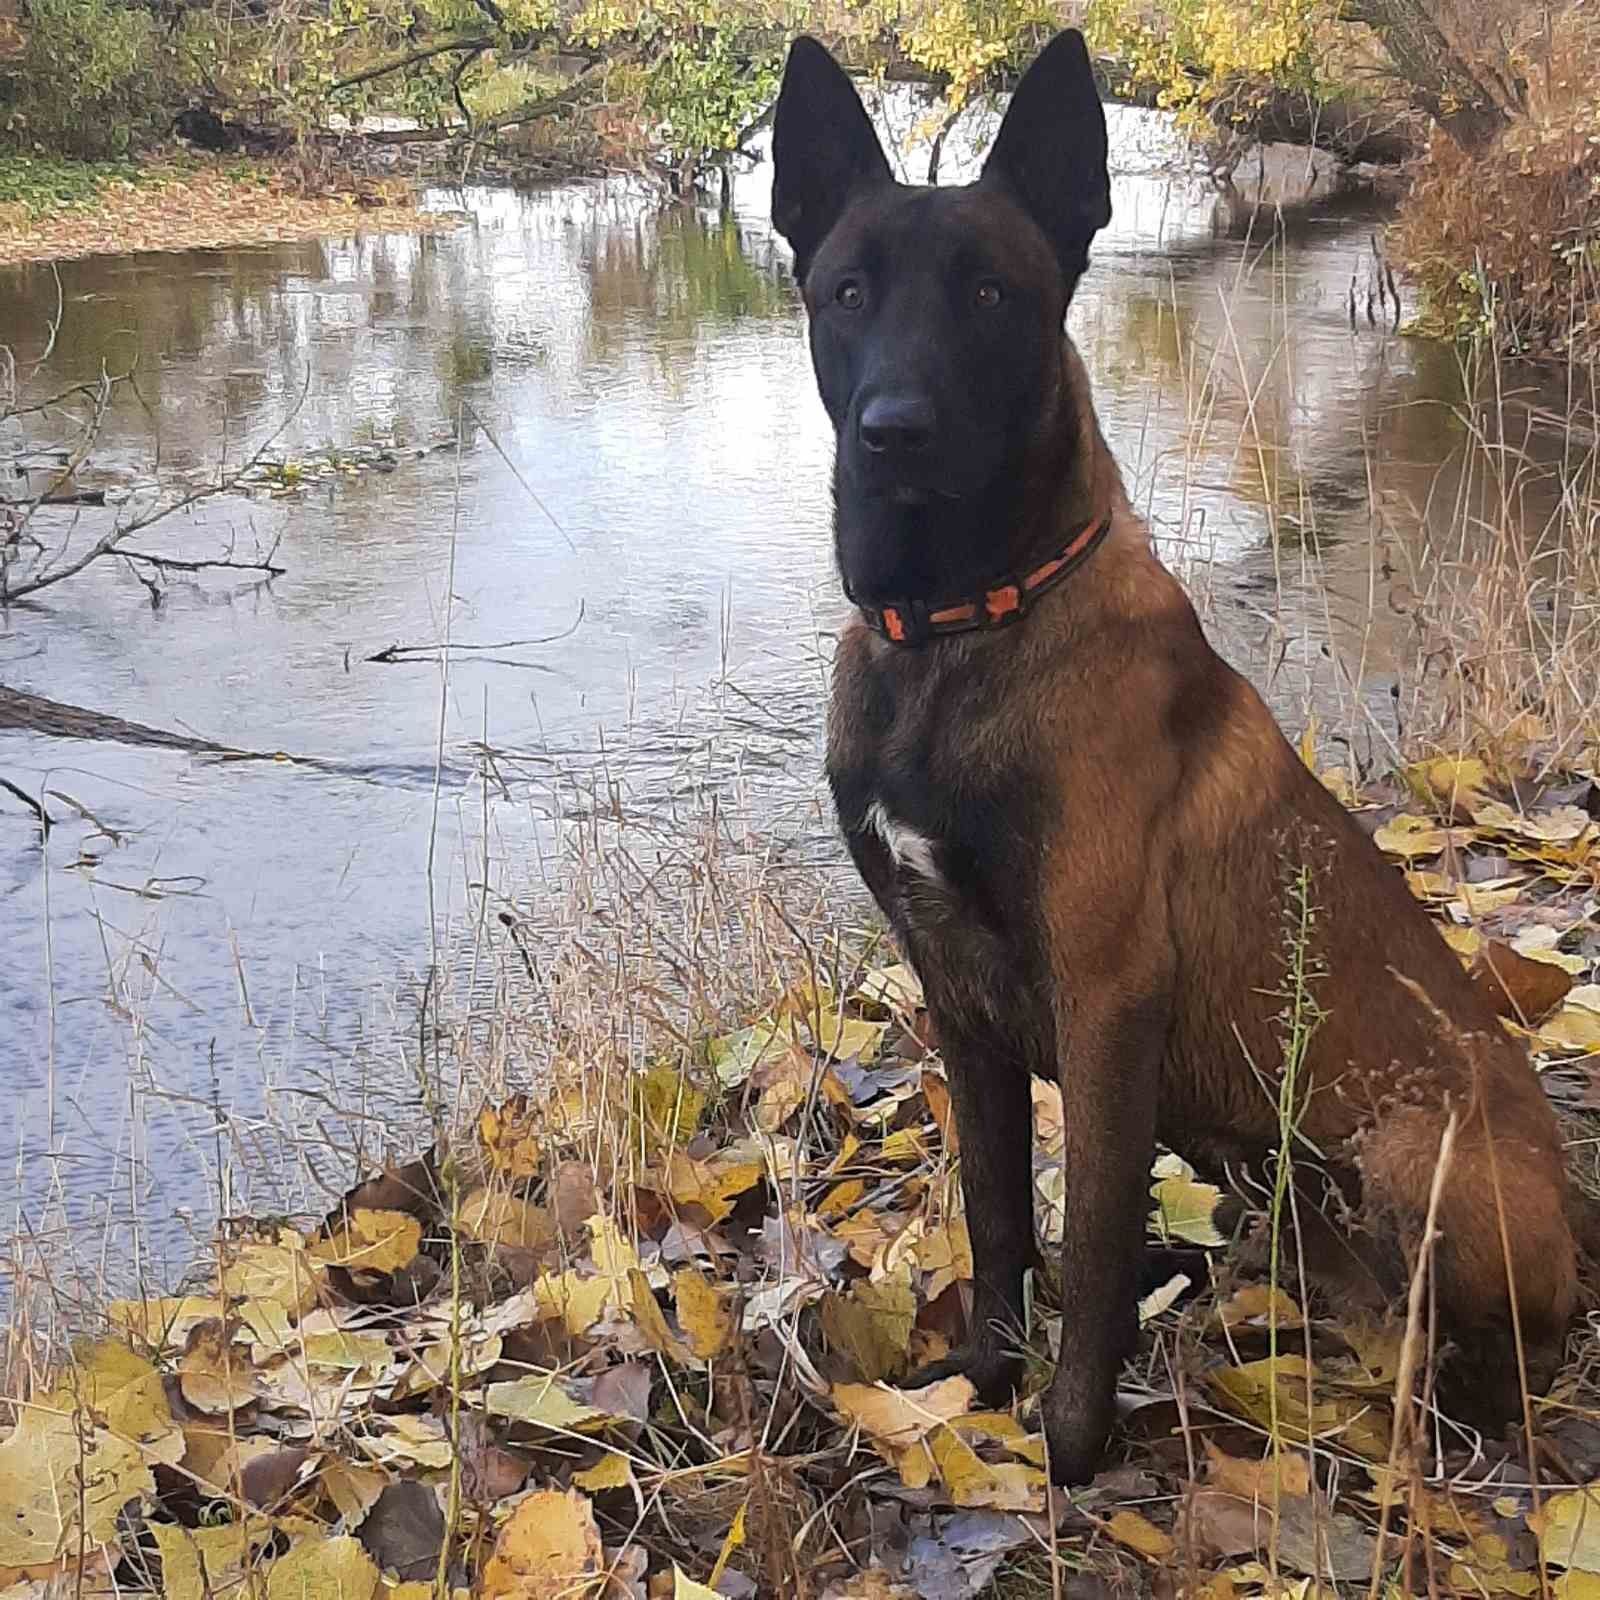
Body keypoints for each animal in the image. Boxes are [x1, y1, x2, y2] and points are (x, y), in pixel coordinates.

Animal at [771, 31, 1574, 1484]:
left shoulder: (1106, 1001)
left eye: (992, 293)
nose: (894, 430)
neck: (967, 630)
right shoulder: (955, 1003)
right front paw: (981, 1387)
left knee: (1507, 1344)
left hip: (1410, 1159)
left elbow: (1087, 1250)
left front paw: (1070, 1454)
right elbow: (996, 1219)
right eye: (847, 291)